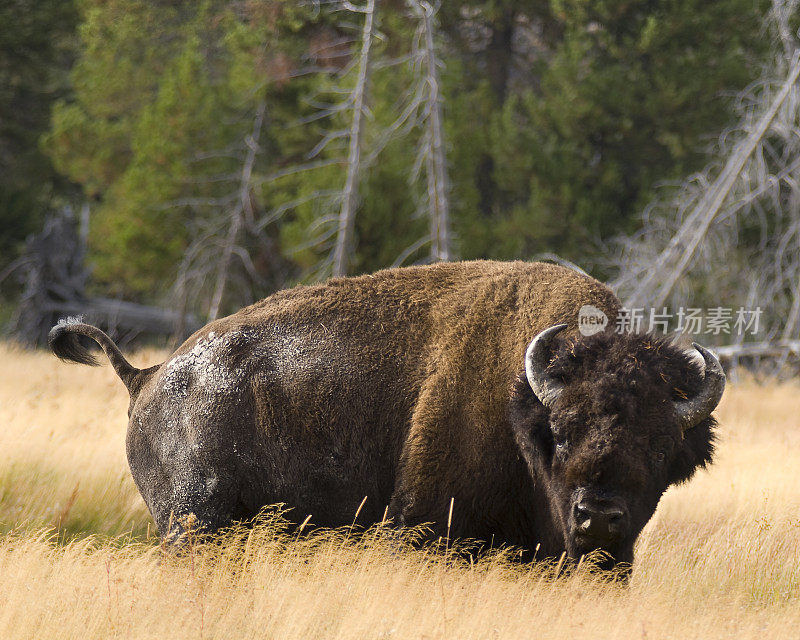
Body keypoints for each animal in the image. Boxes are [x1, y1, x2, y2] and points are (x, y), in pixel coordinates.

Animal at [50, 260, 724, 568]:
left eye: (663, 447)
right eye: (559, 432)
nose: (599, 518)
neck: (522, 404)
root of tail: (147, 376)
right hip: (193, 525)